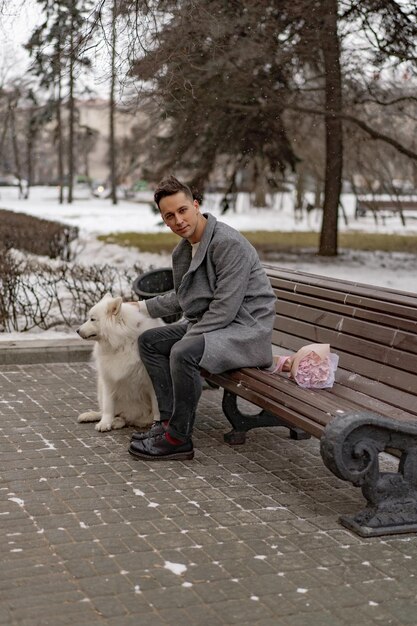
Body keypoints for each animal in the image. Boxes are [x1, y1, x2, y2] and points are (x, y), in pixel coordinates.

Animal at [77, 292, 163, 428]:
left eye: (92, 319)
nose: (77, 330)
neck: (122, 343)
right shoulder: (108, 379)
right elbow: (108, 407)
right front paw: (105, 423)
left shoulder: (152, 382)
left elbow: (156, 407)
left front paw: (158, 423)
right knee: (110, 413)